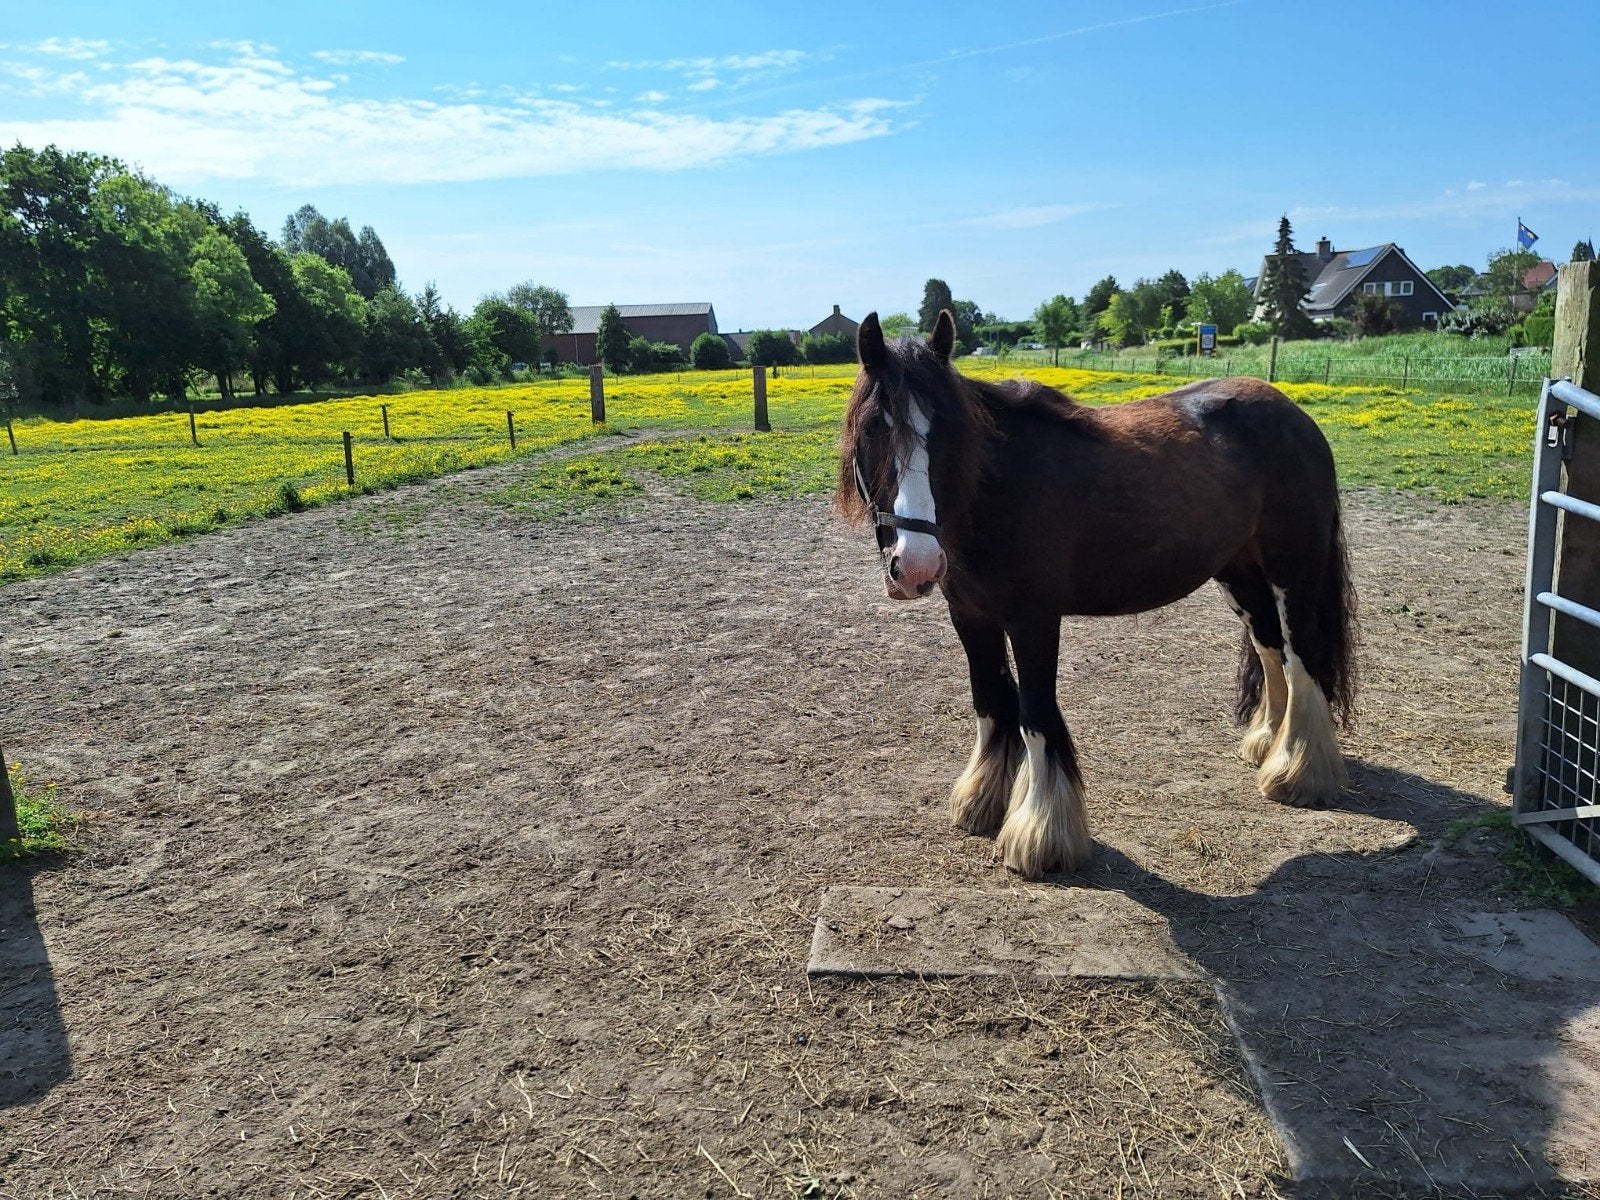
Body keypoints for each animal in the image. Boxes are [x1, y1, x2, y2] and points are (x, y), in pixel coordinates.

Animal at [836, 310, 1357, 880]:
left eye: (949, 430)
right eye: (873, 428)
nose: (916, 565)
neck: (998, 491)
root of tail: (1294, 415)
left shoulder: (1034, 620)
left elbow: (1036, 714)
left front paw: (1041, 835)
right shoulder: (971, 617)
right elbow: (990, 700)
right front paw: (981, 800)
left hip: (1293, 569)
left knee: (1301, 653)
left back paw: (1298, 773)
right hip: (1239, 573)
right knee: (1270, 647)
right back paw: (1268, 744)